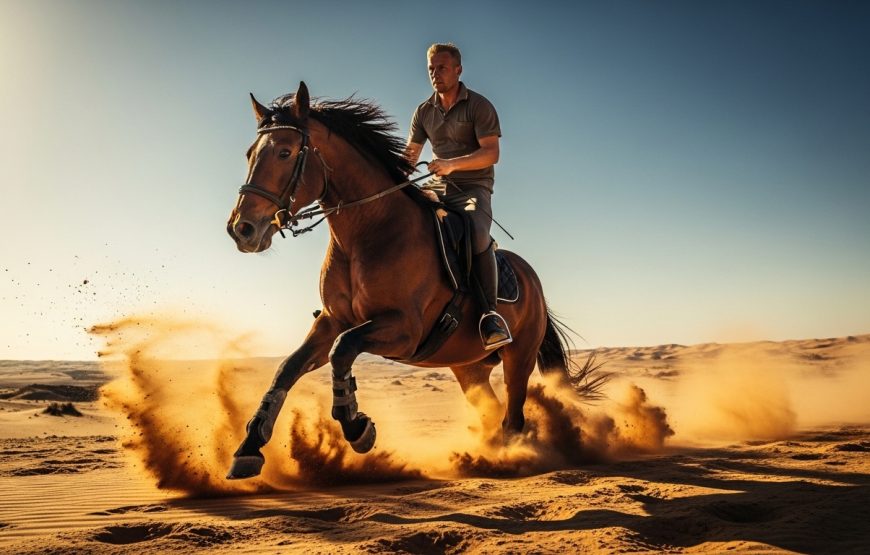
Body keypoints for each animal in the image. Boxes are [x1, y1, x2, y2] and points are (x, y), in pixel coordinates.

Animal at [225, 82, 600, 479]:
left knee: (513, 416)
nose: (242, 229)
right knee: (491, 408)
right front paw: (249, 448)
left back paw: (511, 457)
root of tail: (532, 280)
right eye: (250, 153)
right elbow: (287, 368)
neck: (368, 232)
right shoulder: (332, 321)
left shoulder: (404, 330)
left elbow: (342, 350)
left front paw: (357, 427)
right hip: (469, 367)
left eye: (285, 152)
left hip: (518, 357)